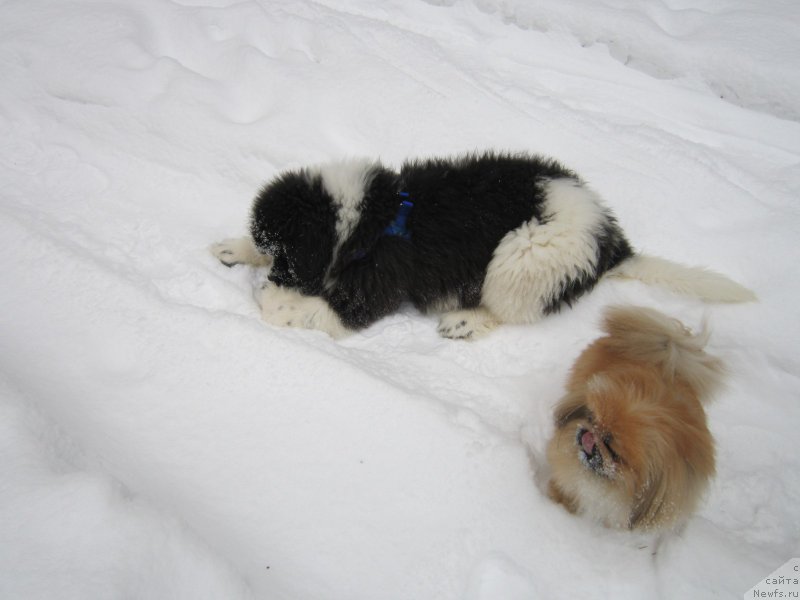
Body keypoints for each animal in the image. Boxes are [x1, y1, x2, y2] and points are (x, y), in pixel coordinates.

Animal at [209, 152, 752, 340]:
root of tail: (612, 239)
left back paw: (466, 321)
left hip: (523, 257)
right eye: (275, 251)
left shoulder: (377, 281)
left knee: (511, 309)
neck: (371, 219)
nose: (272, 277)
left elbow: (327, 312)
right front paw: (235, 248)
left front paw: (276, 303)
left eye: (288, 259)